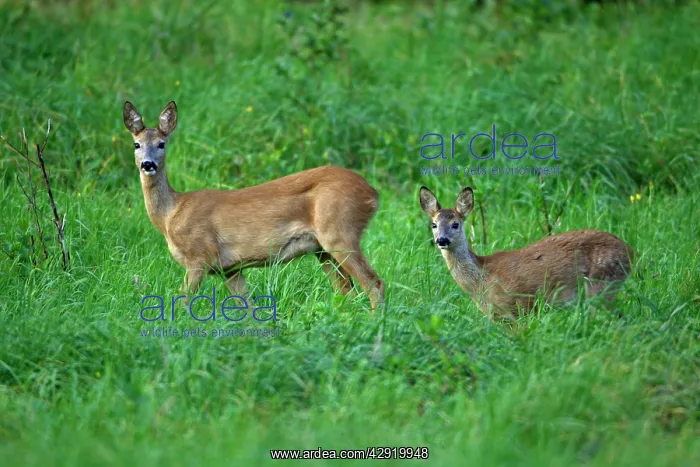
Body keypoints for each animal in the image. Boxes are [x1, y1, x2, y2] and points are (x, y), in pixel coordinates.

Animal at [122, 101, 385, 311]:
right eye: (136, 144)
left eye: (161, 144)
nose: (148, 164)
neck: (170, 216)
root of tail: (372, 193)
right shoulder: (229, 268)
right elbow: (246, 305)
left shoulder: (200, 256)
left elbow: (182, 300)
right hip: (322, 250)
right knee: (347, 291)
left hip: (339, 232)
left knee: (374, 283)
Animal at [419, 186, 633, 319]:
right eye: (434, 224)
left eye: (455, 224)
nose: (442, 240)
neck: (481, 281)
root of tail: (630, 251)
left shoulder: (518, 305)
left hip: (602, 283)